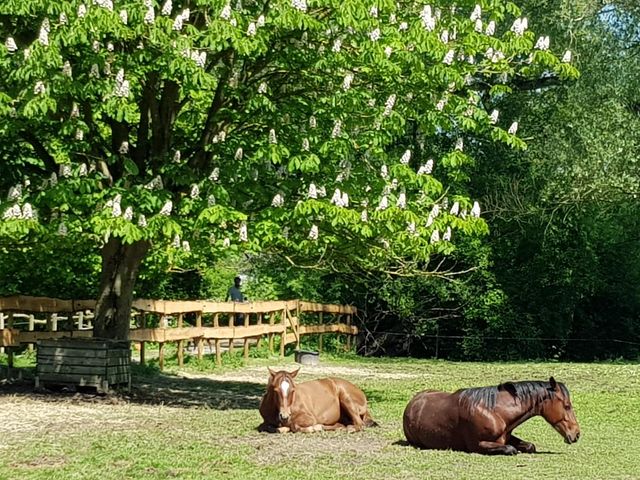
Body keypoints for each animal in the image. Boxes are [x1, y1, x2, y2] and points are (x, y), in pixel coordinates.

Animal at [404, 376, 580, 456]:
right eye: (567, 406)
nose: (576, 434)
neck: (494, 411)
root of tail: (412, 402)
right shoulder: (477, 445)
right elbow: (510, 449)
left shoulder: (507, 436)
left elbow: (530, 446)